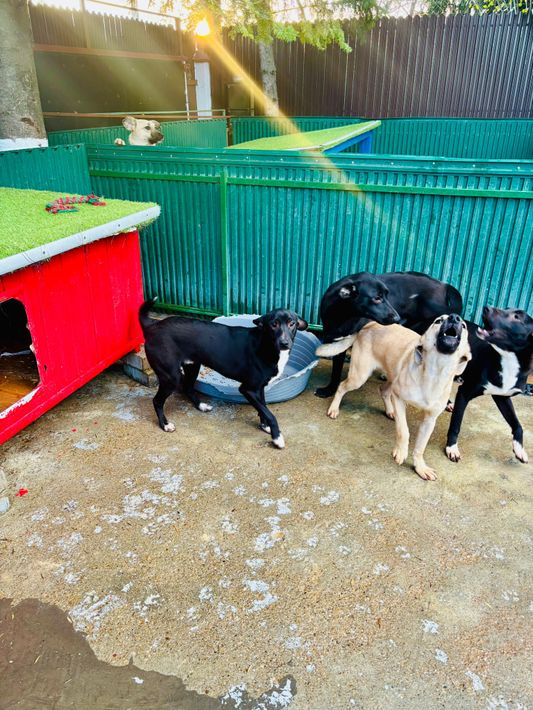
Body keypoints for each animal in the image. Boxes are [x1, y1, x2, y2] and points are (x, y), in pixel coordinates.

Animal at [139, 299, 308, 448]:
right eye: (274, 324)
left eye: (292, 323)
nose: (284, 343)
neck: (266, 344)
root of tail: (153, 325)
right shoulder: (247, 389)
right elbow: (270, 414)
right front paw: (277, 437)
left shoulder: (259, 388)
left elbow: (264, 408)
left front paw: (264, 426)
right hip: (171, 377)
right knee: (157, 401)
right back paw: (165, 424)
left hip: (193, 366)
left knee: (187, 387)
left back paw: (201, 406)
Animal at [316, 271, 463, 398]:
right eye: (377, 298)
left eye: (387, 296)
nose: (398, 318)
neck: (343, 315)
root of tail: (444, 284)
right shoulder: (334, 340)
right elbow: (336, 370)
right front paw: (329, 390)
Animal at [318, 314, 471, 480]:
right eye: (438, 321)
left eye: (463, 325)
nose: (455, 317)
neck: (434, 374)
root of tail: (370, 324)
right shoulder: (399, 399)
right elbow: (403, 430)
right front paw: (401, 452)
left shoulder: (430, 420)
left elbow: (420, 446)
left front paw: (420, 467)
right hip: (359, 376)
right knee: (341, 386)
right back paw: (334, 409)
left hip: (391, 376)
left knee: (383, 390)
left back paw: (390, 411)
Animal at [446, 306, 533, 465]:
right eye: (507, 308)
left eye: (517, 317)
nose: (486, 308)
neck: (508, 360)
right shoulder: (464, 392)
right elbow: (456, 424)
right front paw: (452, 447)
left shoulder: (502, 396)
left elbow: (517, 425)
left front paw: (519, 448)